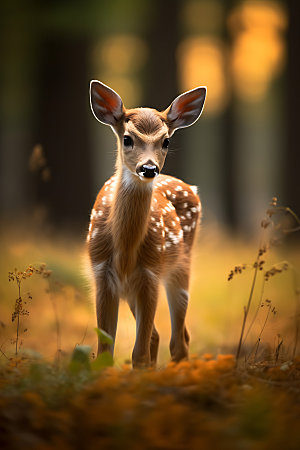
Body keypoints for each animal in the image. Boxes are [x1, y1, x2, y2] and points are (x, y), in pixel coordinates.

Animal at [86, 80, 206, 366]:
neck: (125, 250)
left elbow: (138, 354)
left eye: (166, 140)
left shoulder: (150, 272)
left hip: (180, 265)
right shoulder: (101, 274)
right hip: (132, 289)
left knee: (179, 340)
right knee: (159, 336)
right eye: (127, 139)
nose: (149, 168)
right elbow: (105, 349)